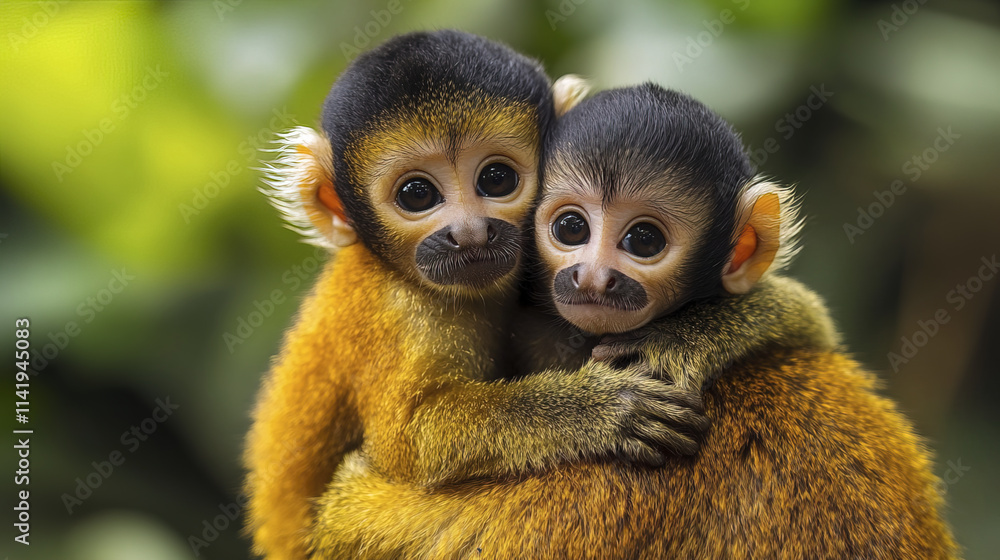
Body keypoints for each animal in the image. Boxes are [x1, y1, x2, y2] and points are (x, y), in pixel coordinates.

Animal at [242, 33, 709, 560]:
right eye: (417, 194)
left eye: (496, 179)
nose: (469, 234)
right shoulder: (401, 309)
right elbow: (412, 438)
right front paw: (600, 409)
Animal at [308, 84, 959, 559]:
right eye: (571, 228)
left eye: (643, 240)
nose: (593, 279)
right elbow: (417, 431)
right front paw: (602, 410)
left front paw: (681, 341)